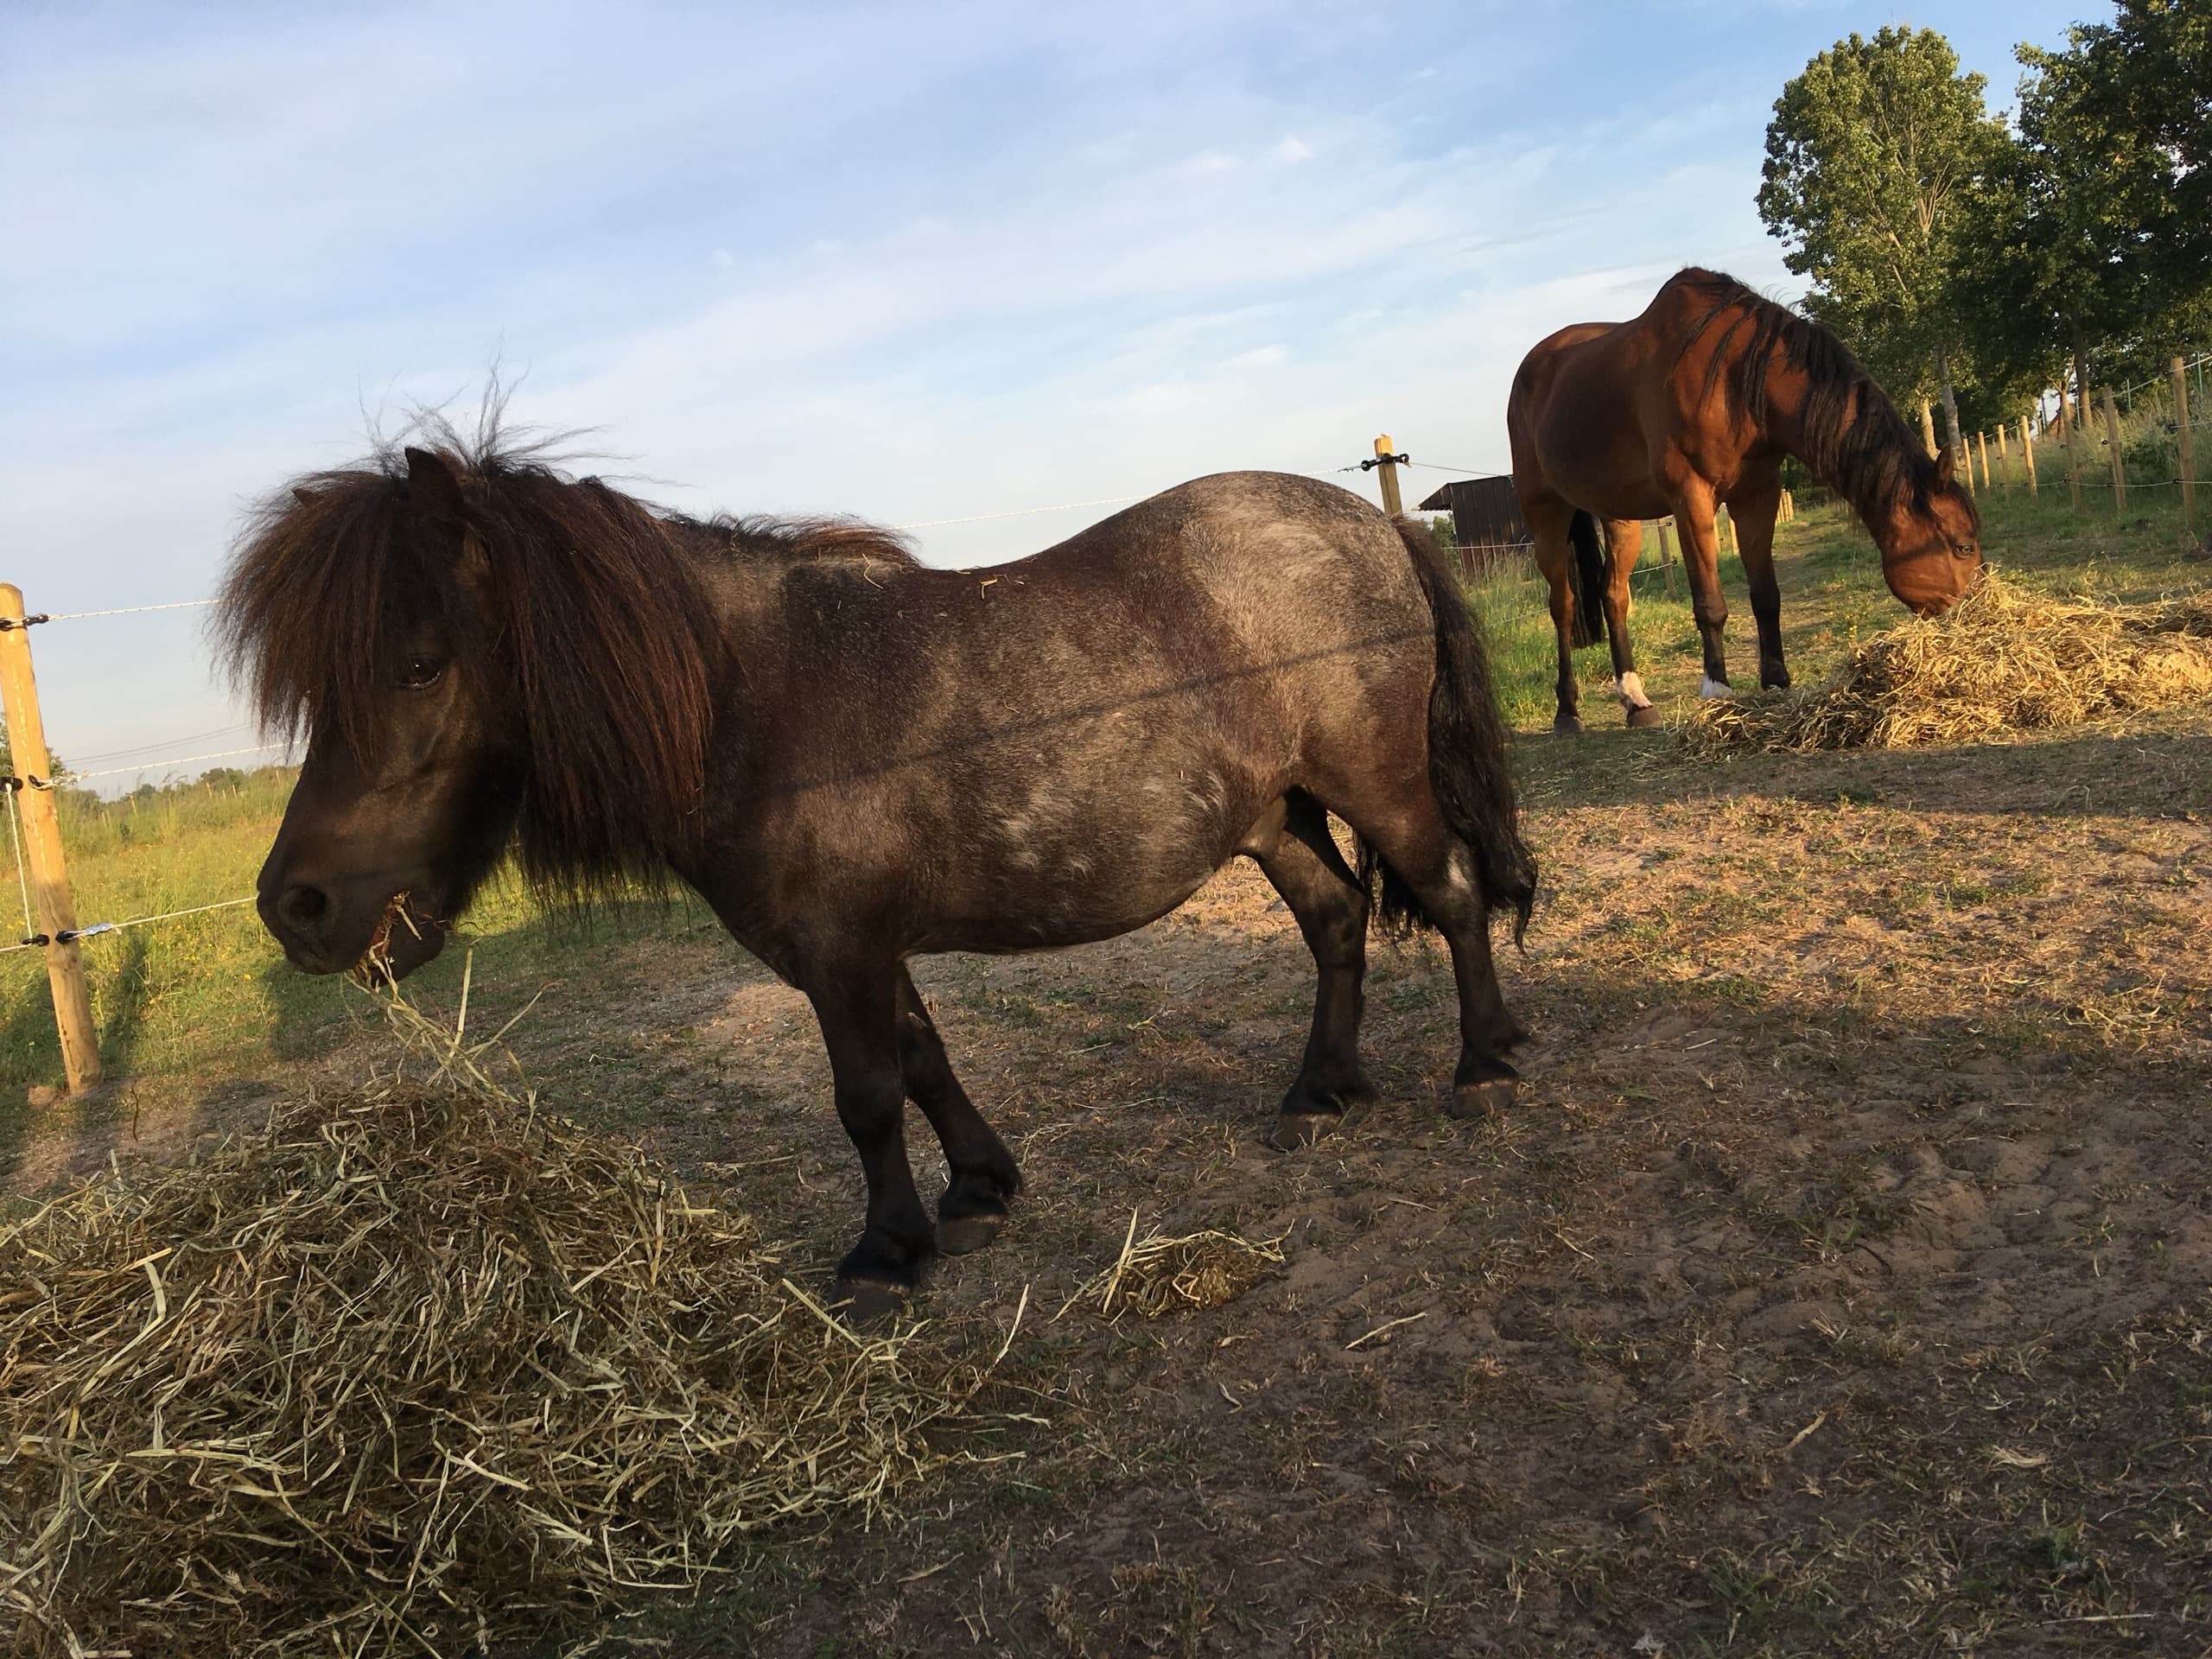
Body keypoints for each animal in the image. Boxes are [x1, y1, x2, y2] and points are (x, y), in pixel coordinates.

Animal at [220, 428, 1538, 1316]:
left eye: (419, 665)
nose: (298, 908)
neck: (755, 704)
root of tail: (1371, 523)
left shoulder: (839, 947)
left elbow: (863, 1096)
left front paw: (886, 1251)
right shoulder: (856, 945)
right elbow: (921, 1059)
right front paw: (978, 1192)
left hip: (1378, 783)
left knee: (1452, 893)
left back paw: (1480, 1067)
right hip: (1272, 817)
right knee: (1336, 922)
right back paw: (1321, 1089)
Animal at [1506, 267, 1982, 732]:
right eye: (1963, 546)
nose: (1972, 618)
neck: (1736, 381)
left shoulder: (1757, 495)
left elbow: (1766, 595)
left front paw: (1776, 680)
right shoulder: (1691, 499)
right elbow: (1710, 603)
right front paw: (1717, 689)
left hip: (1620, 516)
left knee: (1613, 597)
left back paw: (1636, 703)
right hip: (1545, 512)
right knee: (1563, 605)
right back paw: (1567, 711)